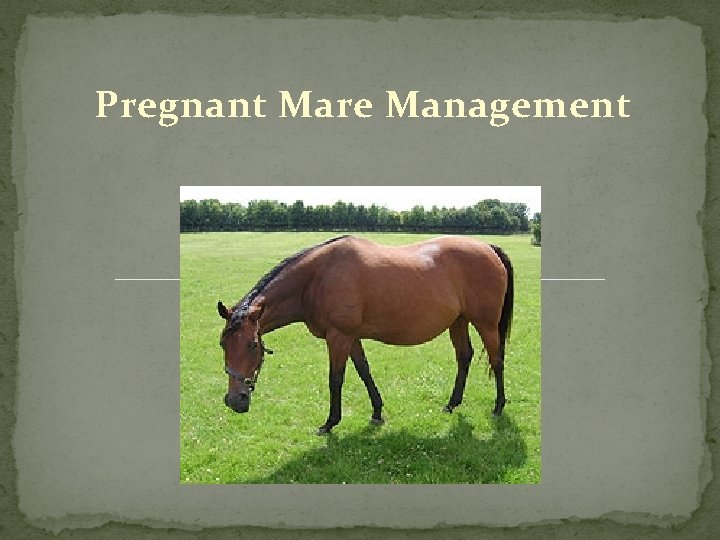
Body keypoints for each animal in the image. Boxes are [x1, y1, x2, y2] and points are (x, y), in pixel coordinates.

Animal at [217, 234, 514, 435]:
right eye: (223, 345)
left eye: (252, 345)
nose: (235, 401)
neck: (317, 278)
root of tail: (489, 248)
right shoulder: (351, 337)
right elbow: (364, 370)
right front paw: (377, 412)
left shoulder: (338, 336)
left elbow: (336, 379)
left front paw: (330, 423)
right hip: (458, 322)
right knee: (464, 357)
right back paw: (452, 404)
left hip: (486, 324)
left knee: (497, 360)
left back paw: (499, 406)